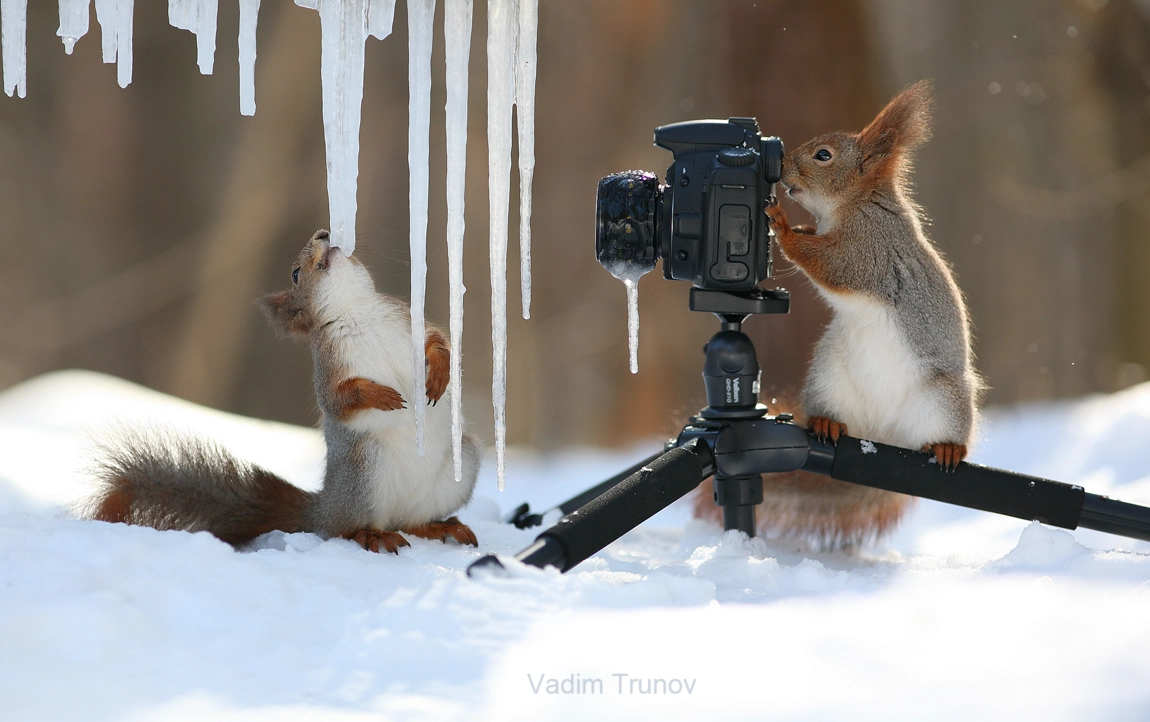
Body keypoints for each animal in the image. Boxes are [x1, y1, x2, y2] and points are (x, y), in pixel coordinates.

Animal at [86, 231, 480, 551]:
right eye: (294, 274)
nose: (323, 233)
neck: (357, 311)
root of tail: (323, 509)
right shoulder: (328, 368)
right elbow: (338, 402)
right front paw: (382, 396)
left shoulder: (408, 321)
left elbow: (440, 343)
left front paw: (439, 373)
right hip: (366, 474)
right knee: (346, 530)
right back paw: (372, 534)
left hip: (460, 465)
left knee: (411, 522)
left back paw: (437, 527)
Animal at [694, 78, 984, 549]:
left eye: (823, 156)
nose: (783, 166)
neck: (853, 204)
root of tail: (880, 437)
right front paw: (795, 224)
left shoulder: (867, 250)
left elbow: (830, 264)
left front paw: (782, 225)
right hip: (830, 377)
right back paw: (827, 425)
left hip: (945, 399)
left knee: (945, 434)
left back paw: (948, 448)